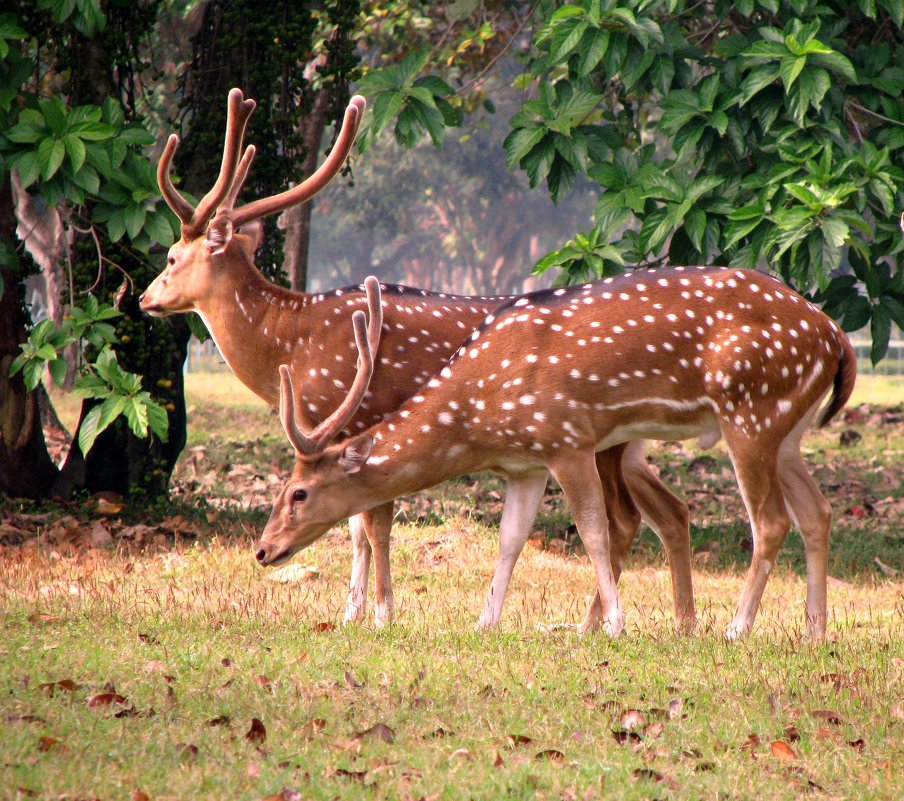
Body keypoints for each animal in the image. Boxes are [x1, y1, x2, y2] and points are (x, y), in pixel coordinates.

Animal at [139, 87, 692, 632]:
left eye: (170, 257)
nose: (145, 298)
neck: (290, 344)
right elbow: (358, 523)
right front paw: (353, 612)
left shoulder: (359, 413)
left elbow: (372, 523)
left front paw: (379, 613)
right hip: (632, 441)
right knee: (670, 510)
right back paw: (662, 621)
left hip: (601, 437)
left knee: (625, 519)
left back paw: (602, 623)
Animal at [260, 266, 856, 640]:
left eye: (299, 492)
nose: (263, 551)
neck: (482, 412)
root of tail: (837, 337)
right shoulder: (525, 464)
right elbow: (510, 539)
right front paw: (485, 621)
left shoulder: (567, 438)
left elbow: (593, 530)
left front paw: (616, 624)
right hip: (789, 429)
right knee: (818, 512)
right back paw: (814, 630)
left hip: (751, 410)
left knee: (771, 520)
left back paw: (736, 628)